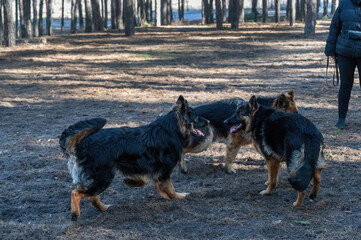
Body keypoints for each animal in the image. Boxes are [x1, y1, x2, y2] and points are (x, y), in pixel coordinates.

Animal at [59, 96, 208, 221]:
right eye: (196, 115)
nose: (208, 120)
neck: (171, 129)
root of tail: (82, 144)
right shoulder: (163, 172)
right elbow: (170, 188)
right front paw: (177, 196)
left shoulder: (147, 169)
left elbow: (148, 182)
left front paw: (131, 182)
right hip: (103, 177)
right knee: (76, 193)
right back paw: (75, 213)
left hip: (102, 178)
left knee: (93, 198)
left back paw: (104, 208)